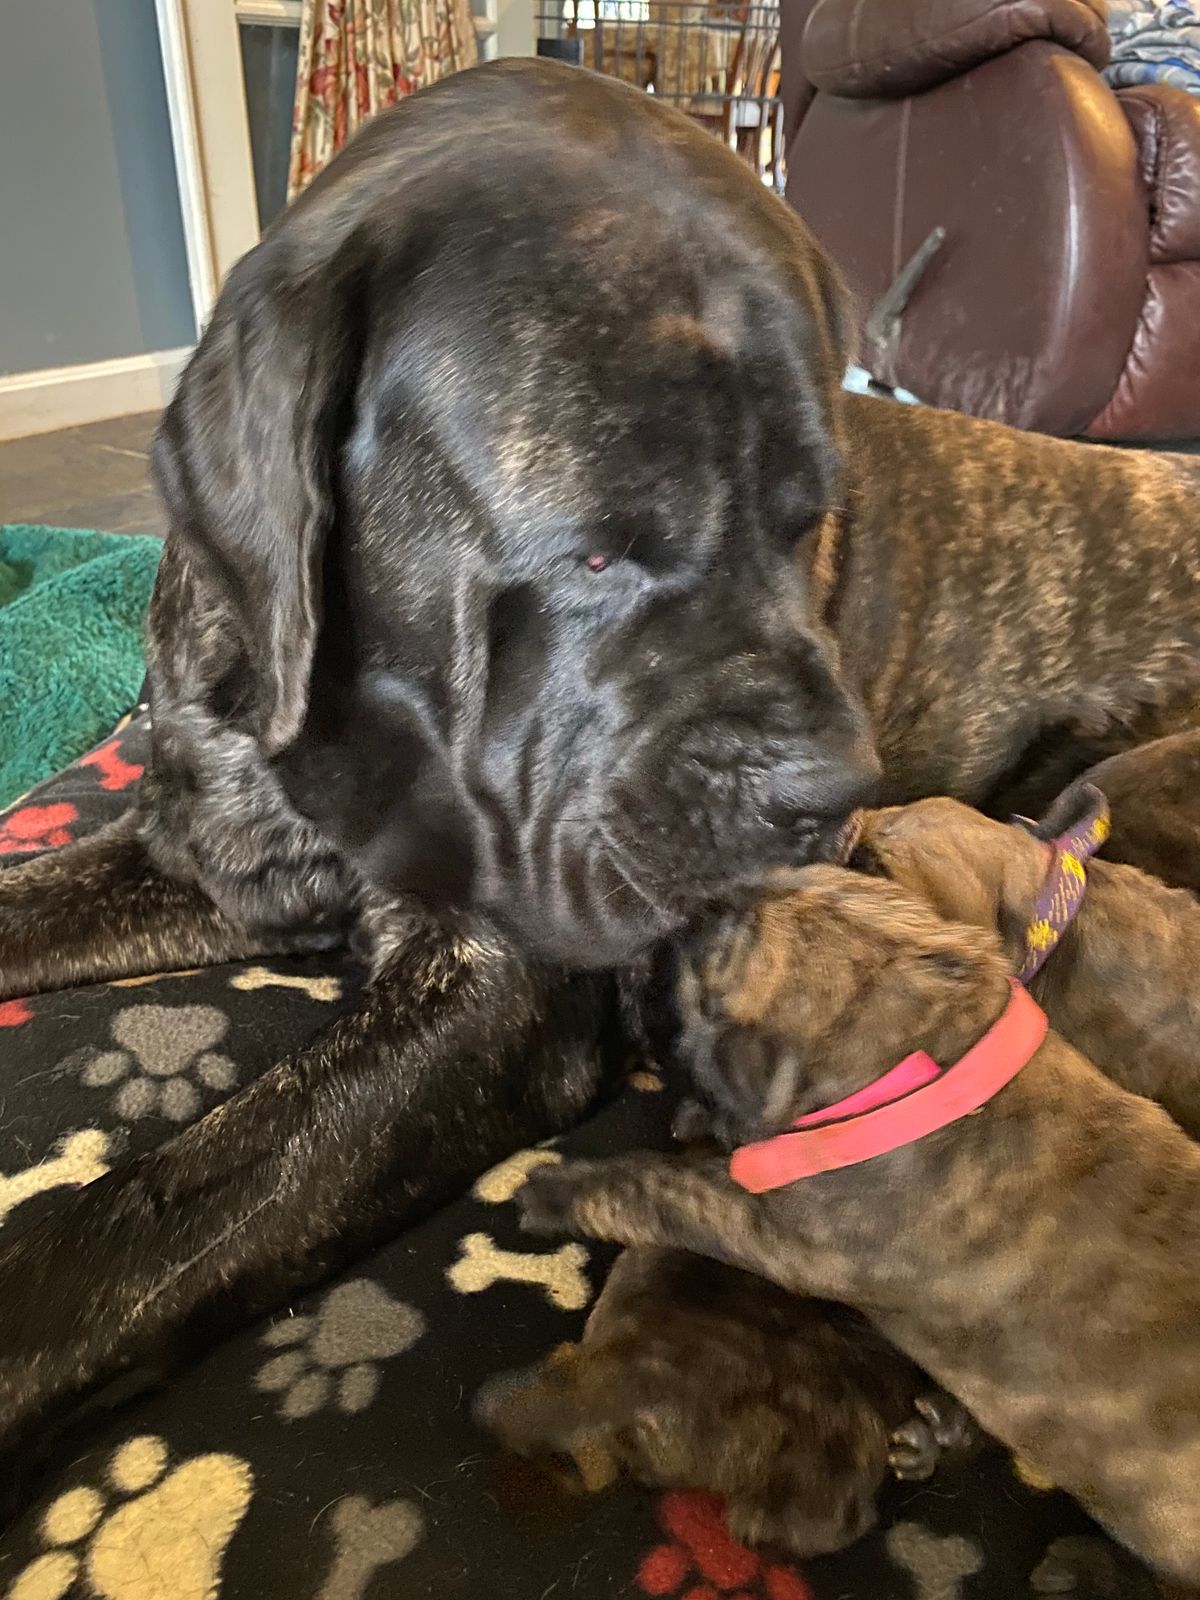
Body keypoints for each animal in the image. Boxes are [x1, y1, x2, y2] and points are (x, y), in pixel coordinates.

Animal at [519, 870, 1200, 1586]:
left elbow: (655, 1188)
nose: (631, 944)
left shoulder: (767, 1226)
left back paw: (1072, 1564)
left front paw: (555, 1192)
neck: (937, 1064)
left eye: (692, 958)